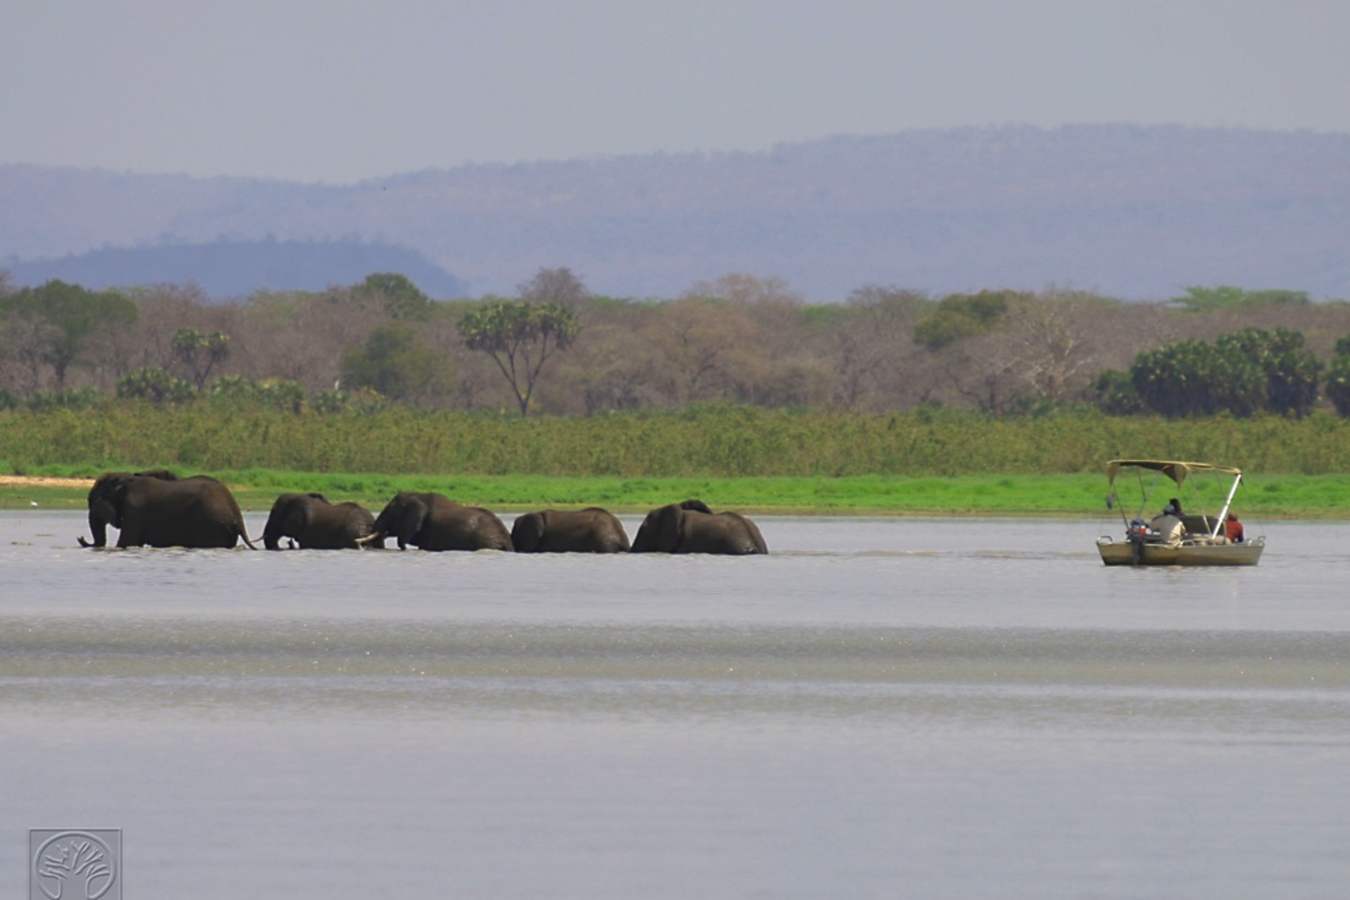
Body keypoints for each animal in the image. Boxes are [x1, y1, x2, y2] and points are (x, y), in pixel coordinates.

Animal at [79, 470, 256, 549]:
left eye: (92, 501)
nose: (80, 538)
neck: (124, 478)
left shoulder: (134, 510)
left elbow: (126, 542)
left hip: (213, 525)